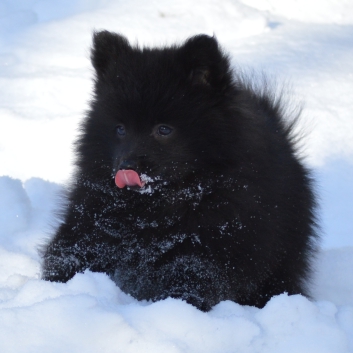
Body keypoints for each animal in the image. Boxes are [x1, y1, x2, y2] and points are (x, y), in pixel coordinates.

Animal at [41, 31, 316, 310]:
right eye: (120, 129)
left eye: (164, 129)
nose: (126, 167)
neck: (157, 208)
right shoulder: (91, 221)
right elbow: (71, 252)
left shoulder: (213, 242)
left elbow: (191, 274)